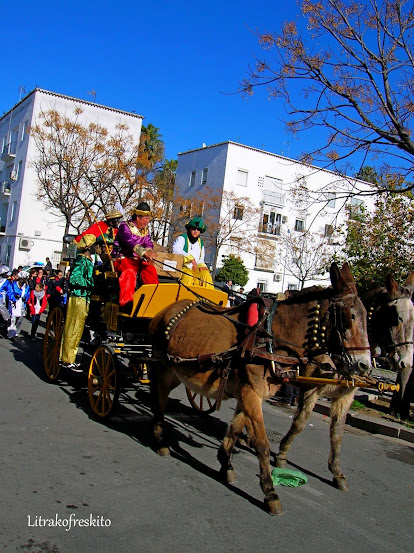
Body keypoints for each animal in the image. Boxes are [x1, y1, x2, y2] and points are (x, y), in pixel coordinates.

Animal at [148, 264, 368, 512]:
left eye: (367, 316)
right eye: (350, 316)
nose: (364, 365)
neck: (271, 339)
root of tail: (165, 312)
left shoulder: (251, 394)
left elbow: (235, 428)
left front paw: (226, 463)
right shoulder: (252, 393)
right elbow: (262, 443)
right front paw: (270, 492)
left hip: (176, 371)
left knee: (162, 397)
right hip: (162, 366)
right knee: (159, 400)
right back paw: (160, 441)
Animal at [274, 272, 414, 488]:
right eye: (396, 317)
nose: (406, 362)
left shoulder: (345, 396)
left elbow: (337, 432)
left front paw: (337, 472)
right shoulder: (311, 389)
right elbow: (300, 423)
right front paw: (282, 454)